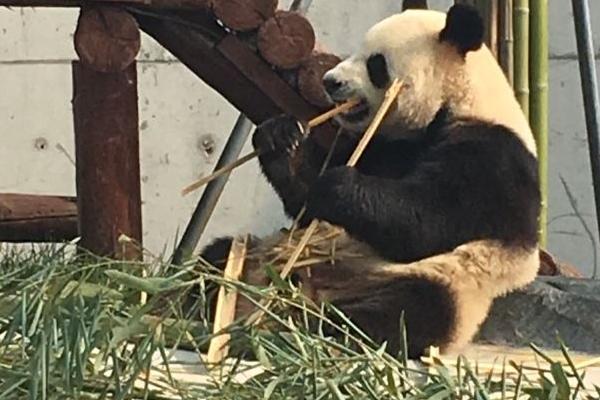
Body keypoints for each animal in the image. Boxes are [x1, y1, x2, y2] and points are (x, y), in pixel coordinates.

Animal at [197, 3, 540, 360]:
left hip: (443, 283)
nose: (329, 81)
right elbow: (307, 203)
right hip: (257, 254)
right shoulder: (385, 145)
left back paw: (309, 331)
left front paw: (340, 188)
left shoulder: (493, 158)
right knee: (217, 257)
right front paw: (280, 137)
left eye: (376, 63)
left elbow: (429, 223)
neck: (459, 99)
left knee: (405, 312)